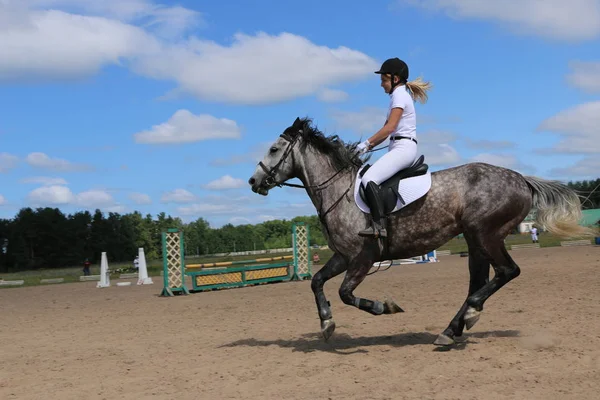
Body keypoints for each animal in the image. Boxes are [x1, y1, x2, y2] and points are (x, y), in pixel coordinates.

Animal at [246, 117, 592, 346]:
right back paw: (453, 328)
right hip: (474, 239)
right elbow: (316, 281)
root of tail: (522, 179)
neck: (339, 192)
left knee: (506, 271)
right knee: (479, 280)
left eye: (274, 149)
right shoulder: (343, 256)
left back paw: (469, 316)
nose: (253, 181)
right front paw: (327, 323)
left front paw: (382, 307)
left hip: (486, 234)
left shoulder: (363, 257)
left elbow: (346, 293)